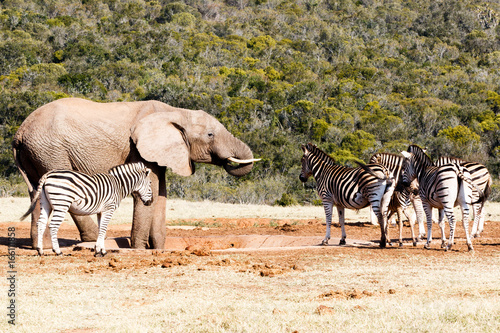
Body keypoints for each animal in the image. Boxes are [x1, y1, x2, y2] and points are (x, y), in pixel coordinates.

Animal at [20, 162, 152, 255]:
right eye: (150, 183)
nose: (150, 202)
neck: (118, 185)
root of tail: (48, 174)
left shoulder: (101, 211)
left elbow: (101, 229)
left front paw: (100, 250)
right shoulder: (109, 209)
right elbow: (104, 228)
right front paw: (100, 251)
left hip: (45, 203)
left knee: (41, 223)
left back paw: (40, 250)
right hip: (61, 203)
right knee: (53, 225)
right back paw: (57, 251)